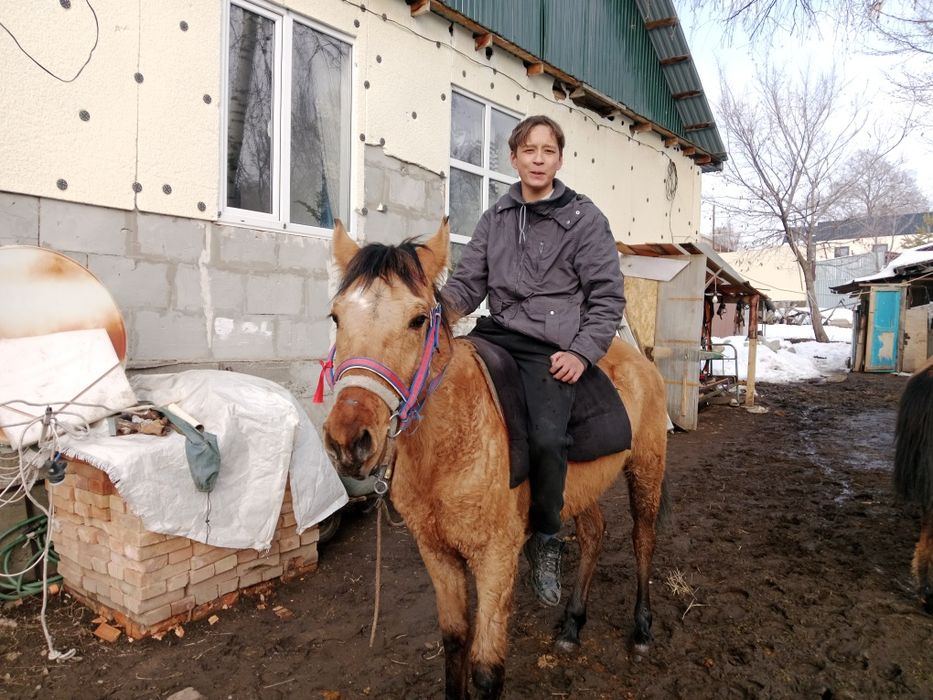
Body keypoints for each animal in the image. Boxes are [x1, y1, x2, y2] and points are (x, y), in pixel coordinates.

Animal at [322, 219, 669, 699]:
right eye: (336, 317)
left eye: (416, 320)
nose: (349, 441)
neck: (447, 449)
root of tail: (640, 359)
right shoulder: (438, 554)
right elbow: (454, 642)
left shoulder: (495, 558)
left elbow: (487, 670)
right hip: (580, 488)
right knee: (595, 533)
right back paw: (572, 625)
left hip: (647, 470)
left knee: (643, 540)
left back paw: (641, 630)